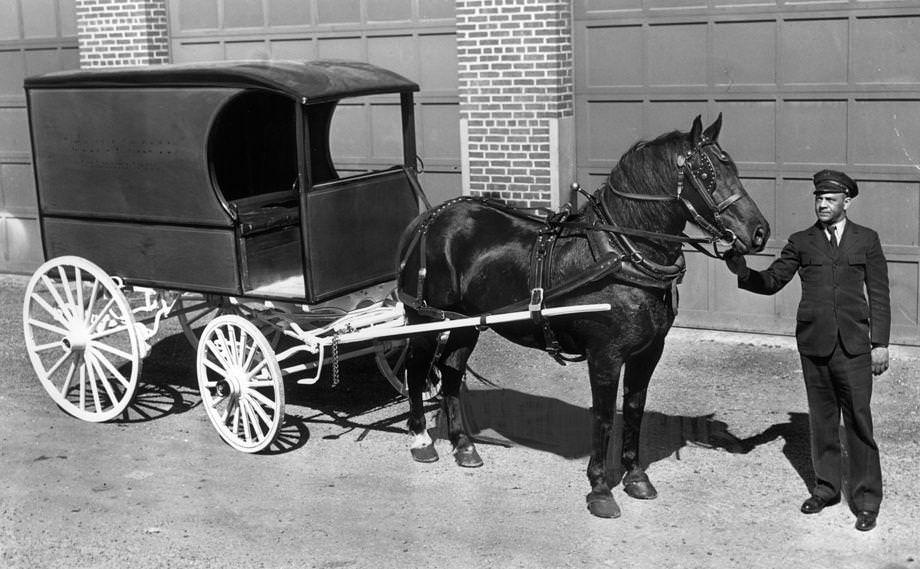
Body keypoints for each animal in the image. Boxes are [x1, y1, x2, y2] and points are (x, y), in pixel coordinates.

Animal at [394, 113, 768, 516]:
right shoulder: (605, 355)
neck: (622, 252)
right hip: (427, 318)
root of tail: (428, 219)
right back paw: (421, 440)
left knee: (450, 371)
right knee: (416, 369)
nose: (759, 232)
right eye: (708, 171)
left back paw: (464, 446)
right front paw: (600, 488)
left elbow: (634, 408)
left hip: (468, 322)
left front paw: (636, 477)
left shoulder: (649, 351)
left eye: (731, 166)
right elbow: (603, 416)